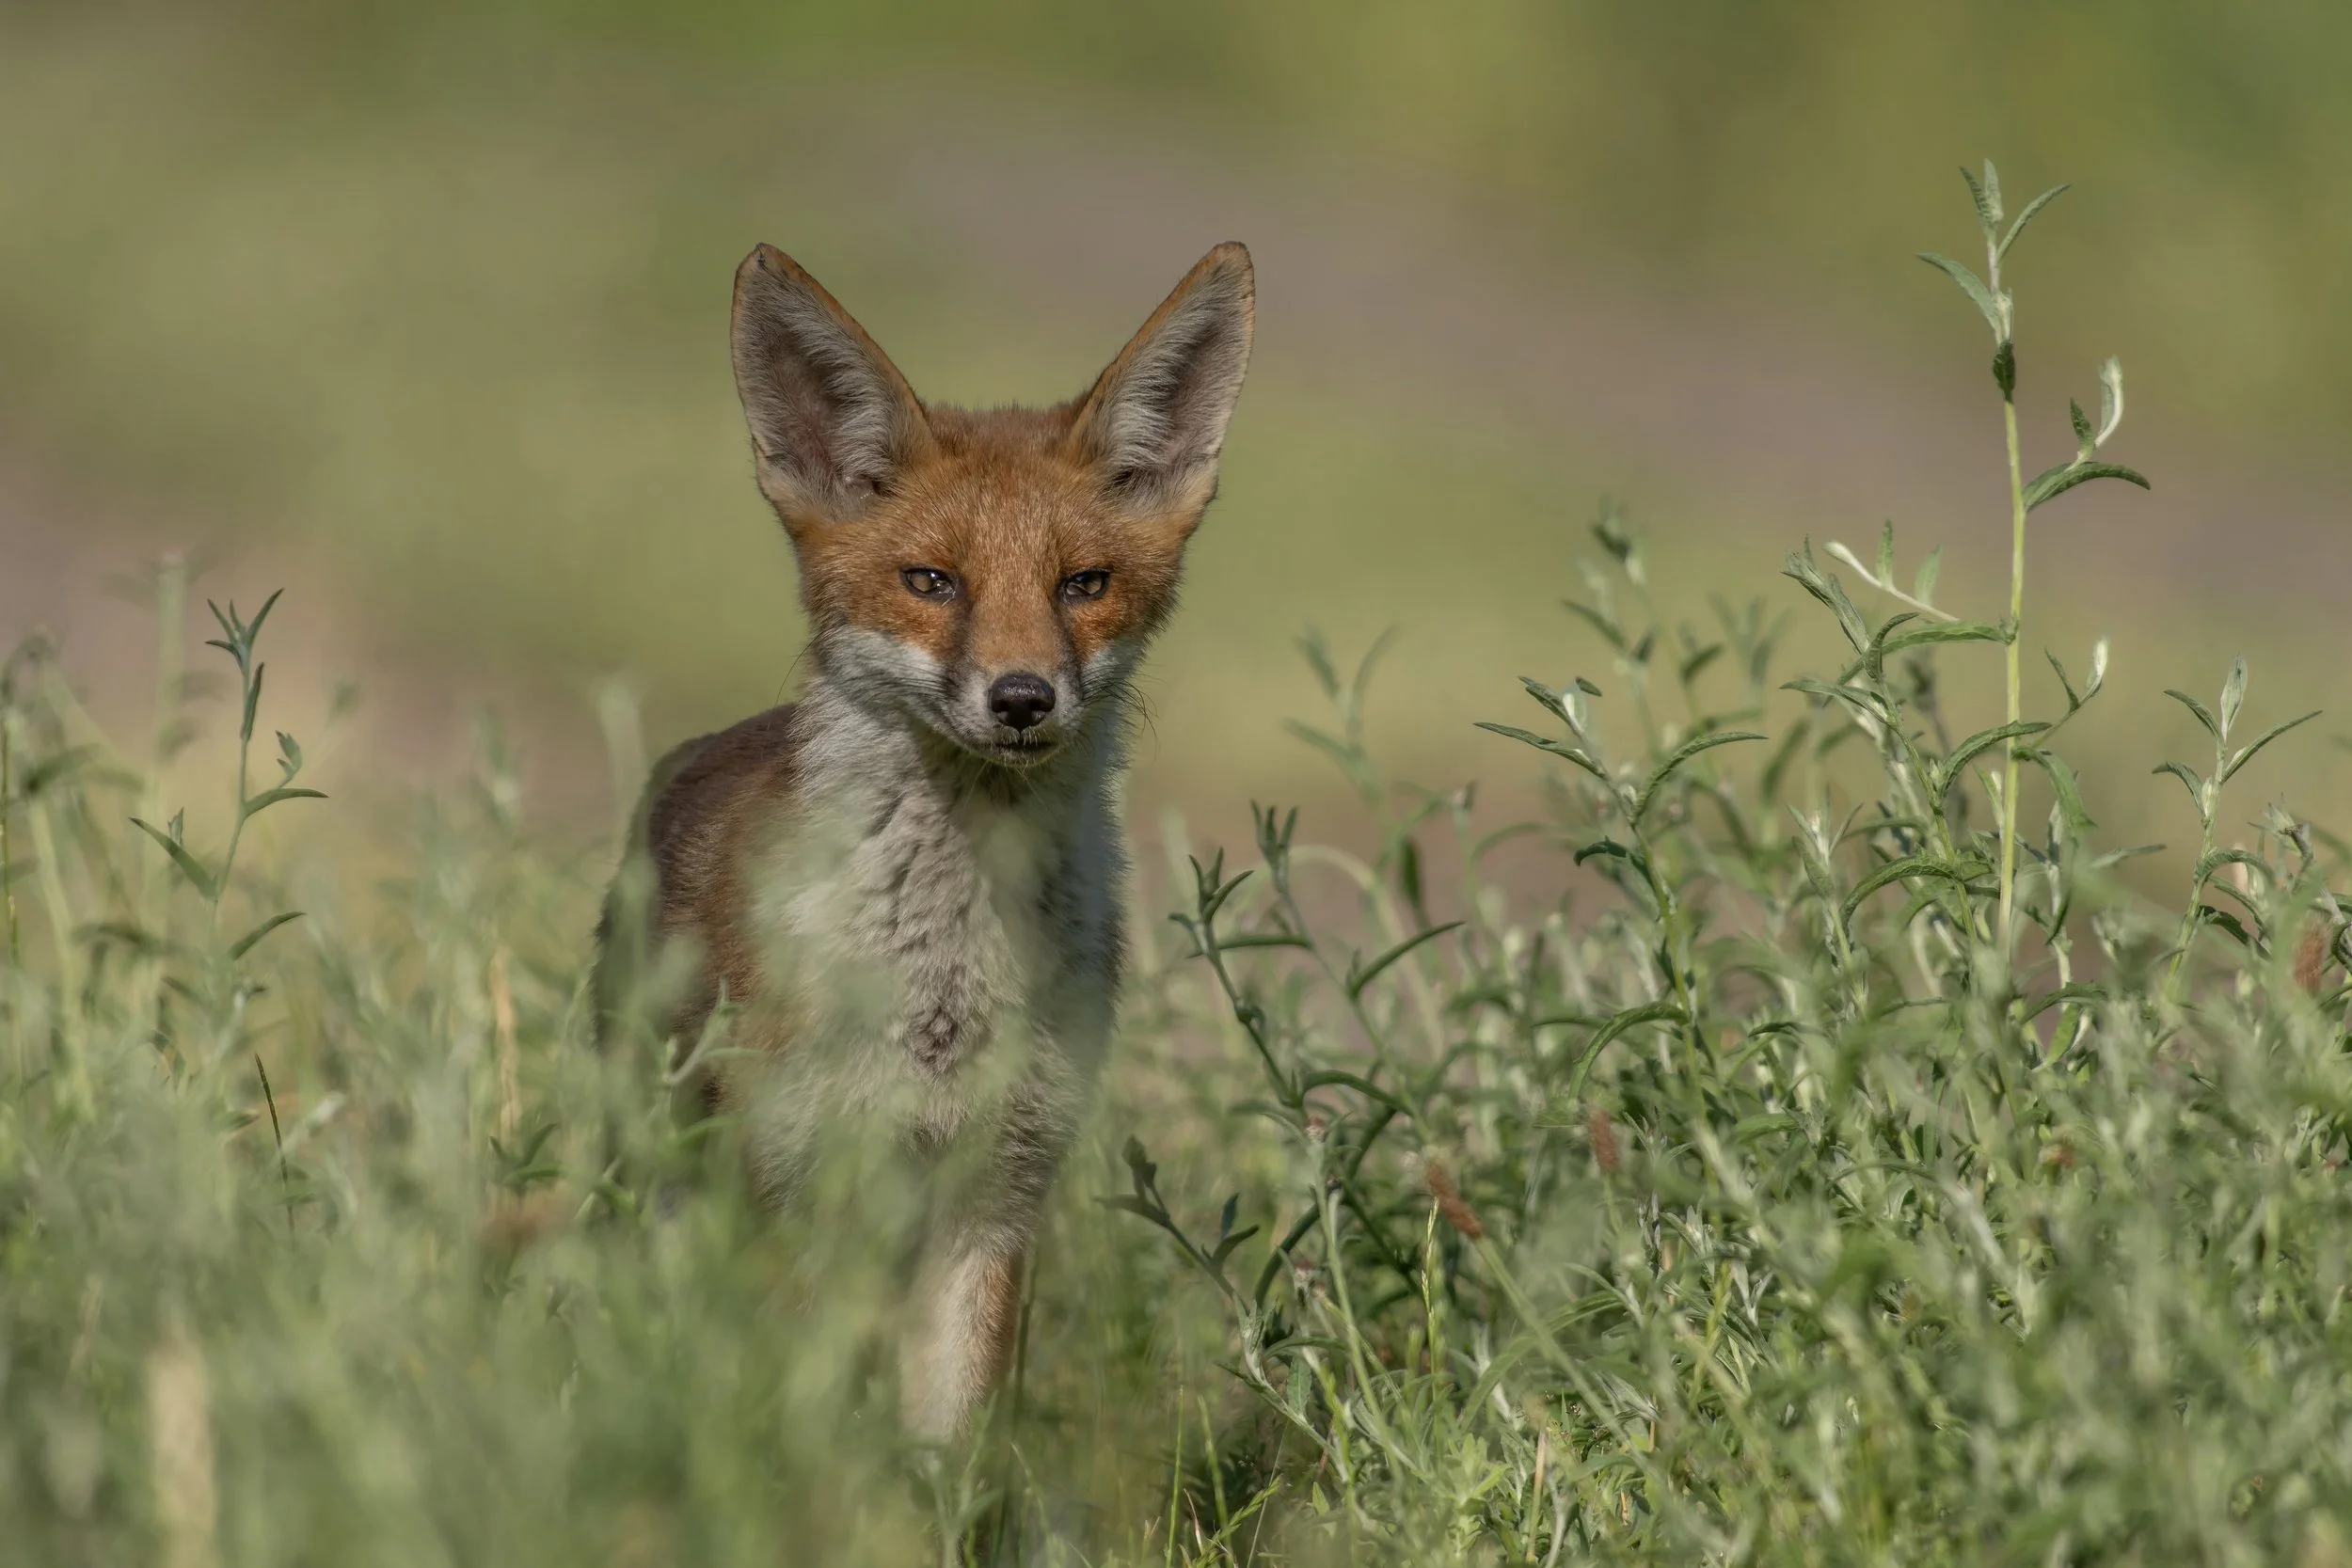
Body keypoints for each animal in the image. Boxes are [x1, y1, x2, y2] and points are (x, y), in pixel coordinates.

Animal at [592, 240, 1254, 1441]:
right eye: (931, 581)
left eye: (1083, 584)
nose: (1023, 697)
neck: (943, 992)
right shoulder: (794, 1181)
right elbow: (803, 1419)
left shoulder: (995, 1194)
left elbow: (951, 1439)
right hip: (669, 1176)